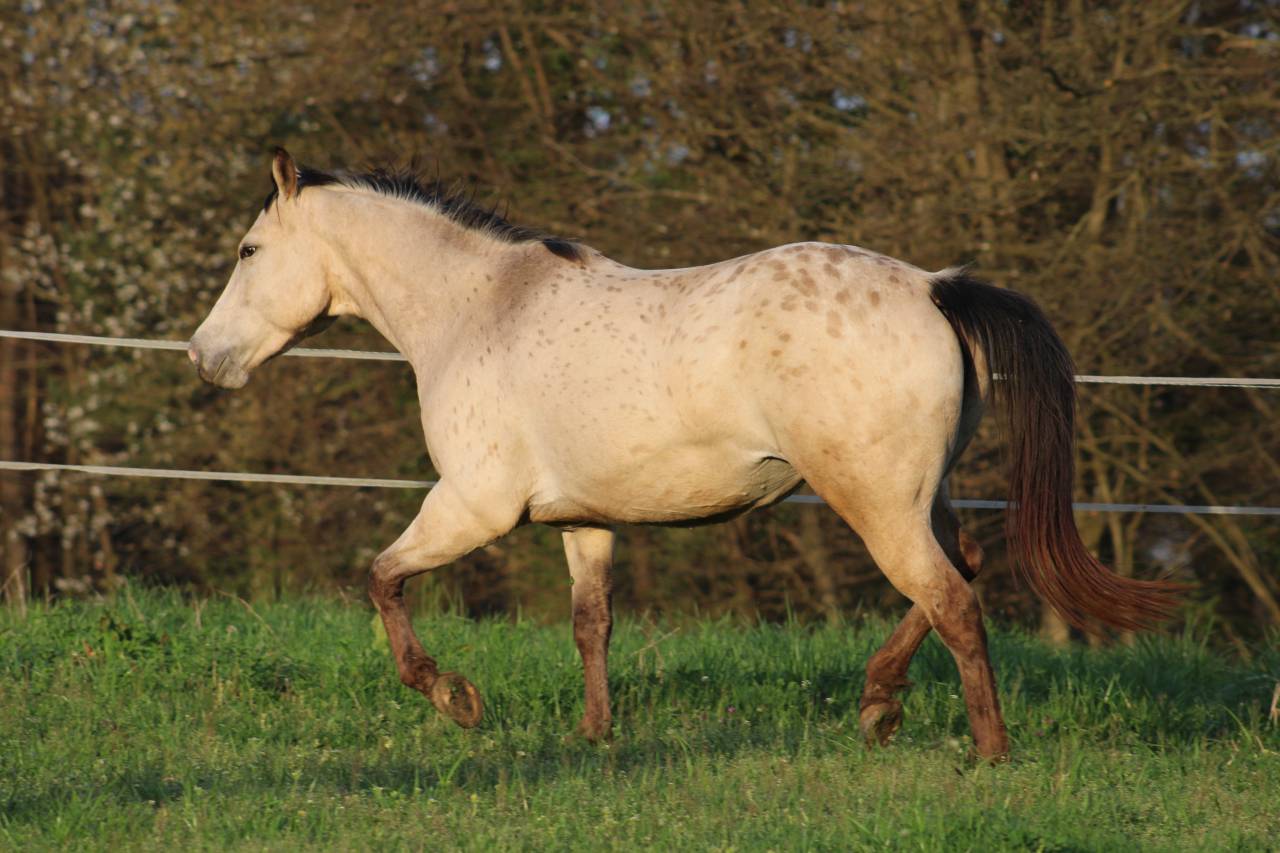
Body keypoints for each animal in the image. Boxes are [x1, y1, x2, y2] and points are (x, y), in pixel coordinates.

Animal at [189, 149, 1180, 760]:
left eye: (247, 249)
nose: (205, 357)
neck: (481, 308)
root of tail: (935, 288)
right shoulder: (581, 519)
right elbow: (591, 623)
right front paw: (594, 736)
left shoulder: (472, 504)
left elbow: (383, 579)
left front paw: (454, 698)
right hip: (916, 494)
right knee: (962, 570)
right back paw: (878, 703)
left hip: (875, 501)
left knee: (953, 600)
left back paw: (986, 751)